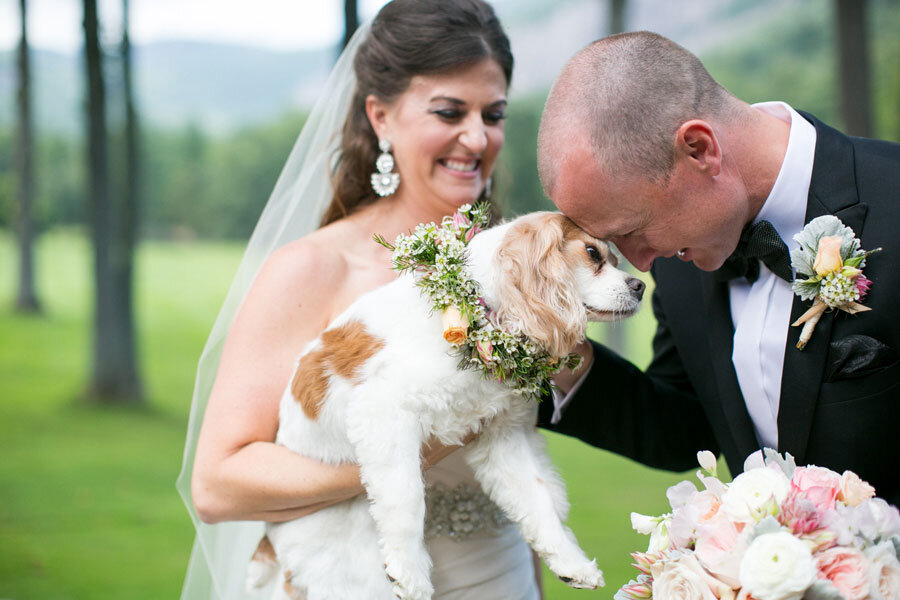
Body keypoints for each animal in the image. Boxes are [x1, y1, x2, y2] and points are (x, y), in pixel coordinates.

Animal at [243, 210, 644, 596]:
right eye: (592, 254)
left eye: (615, 258)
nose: (639, 286)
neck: (479, 313)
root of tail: (268, 539)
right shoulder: (383, 411)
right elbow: (406, 496)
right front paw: (409, 571)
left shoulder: (503, 438)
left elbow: (538, 499)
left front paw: (571, 562)